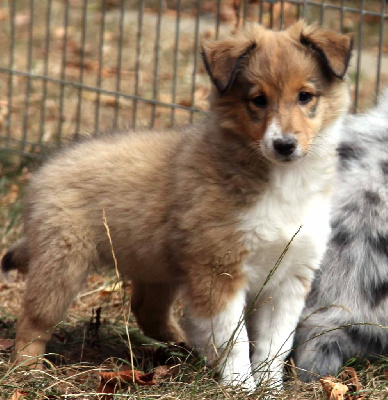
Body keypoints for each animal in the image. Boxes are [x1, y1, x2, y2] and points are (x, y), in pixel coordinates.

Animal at [1, 21, 352, 390]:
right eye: (258, 100)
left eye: (305, 96)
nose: (284, 145)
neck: (282, 180)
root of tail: (44, 170)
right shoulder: (218, 270)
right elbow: (235, 340)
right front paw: (239, 386)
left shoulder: (289, 278)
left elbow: (275, 343)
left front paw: (269, 389)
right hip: (62, 262)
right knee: (34, 318)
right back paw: (27, 369)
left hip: (157, 265)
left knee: (147, 310)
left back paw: (182, 344)